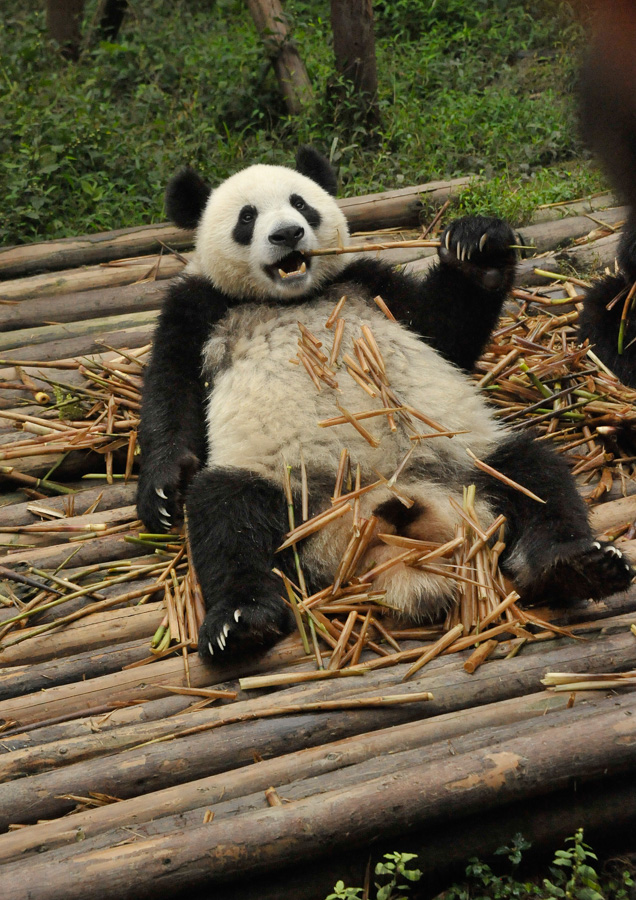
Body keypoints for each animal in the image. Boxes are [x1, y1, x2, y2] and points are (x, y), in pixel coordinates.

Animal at [137, 144, 632, 656]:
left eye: (301, 204)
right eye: (247, 216)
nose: (288, 233)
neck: (291, 298)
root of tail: (389, 515)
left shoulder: (369, 282)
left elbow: (443, 330)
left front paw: (478, 245)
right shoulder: (199, 306)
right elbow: (172, 390)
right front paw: (163, 489)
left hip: (469, 457)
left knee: (536, 476)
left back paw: (576, 566)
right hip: (284, 483)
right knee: (226, 518)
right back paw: (240, 621)